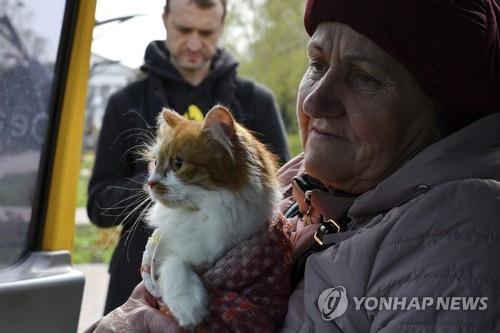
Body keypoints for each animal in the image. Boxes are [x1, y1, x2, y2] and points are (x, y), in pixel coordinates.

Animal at [143, 105, 282, 326]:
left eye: (178, 164)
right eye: (155, 162)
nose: (150, 182)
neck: (204, 213)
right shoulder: (165, 251)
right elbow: (174, 263)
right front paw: (189, 307)